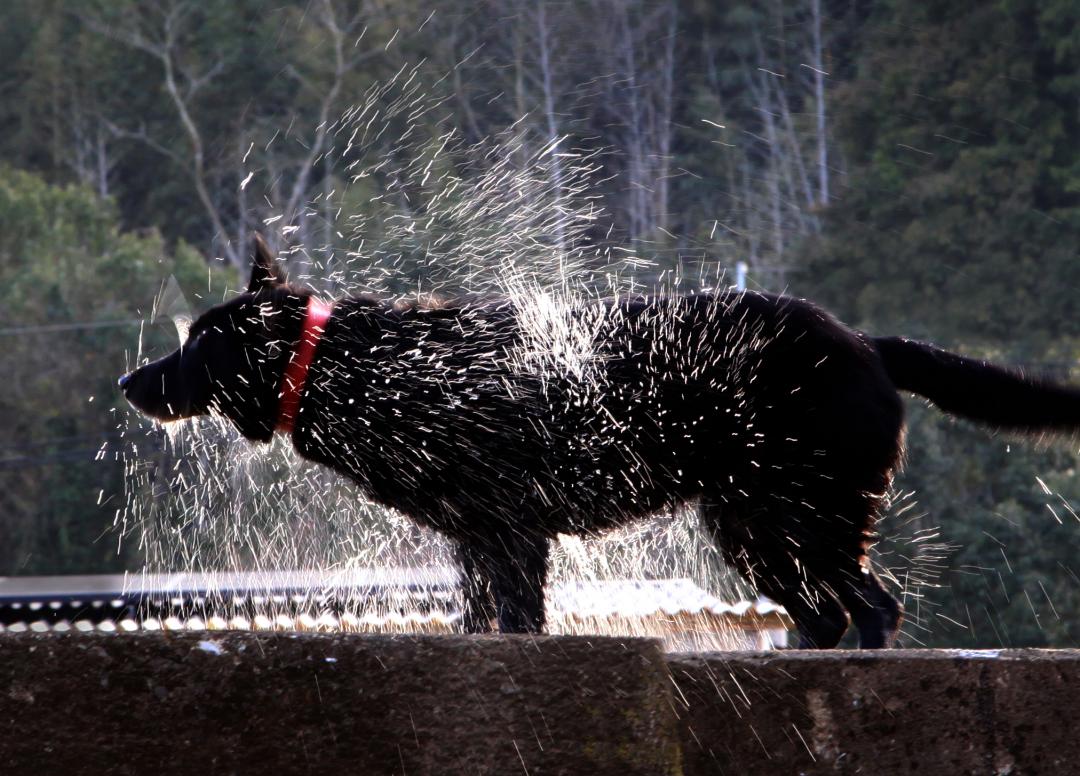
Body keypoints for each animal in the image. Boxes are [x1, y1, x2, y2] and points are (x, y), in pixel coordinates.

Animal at [118, 238, 1080, 647]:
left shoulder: (512, 532)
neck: (345, 362)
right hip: (754, 527)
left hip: (798, 514)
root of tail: (867, 344)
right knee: (826, 615)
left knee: (870, 609)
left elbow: (519, 621)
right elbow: (483, 620)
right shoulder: (478, 538)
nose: (129, 382)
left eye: (195, 343)